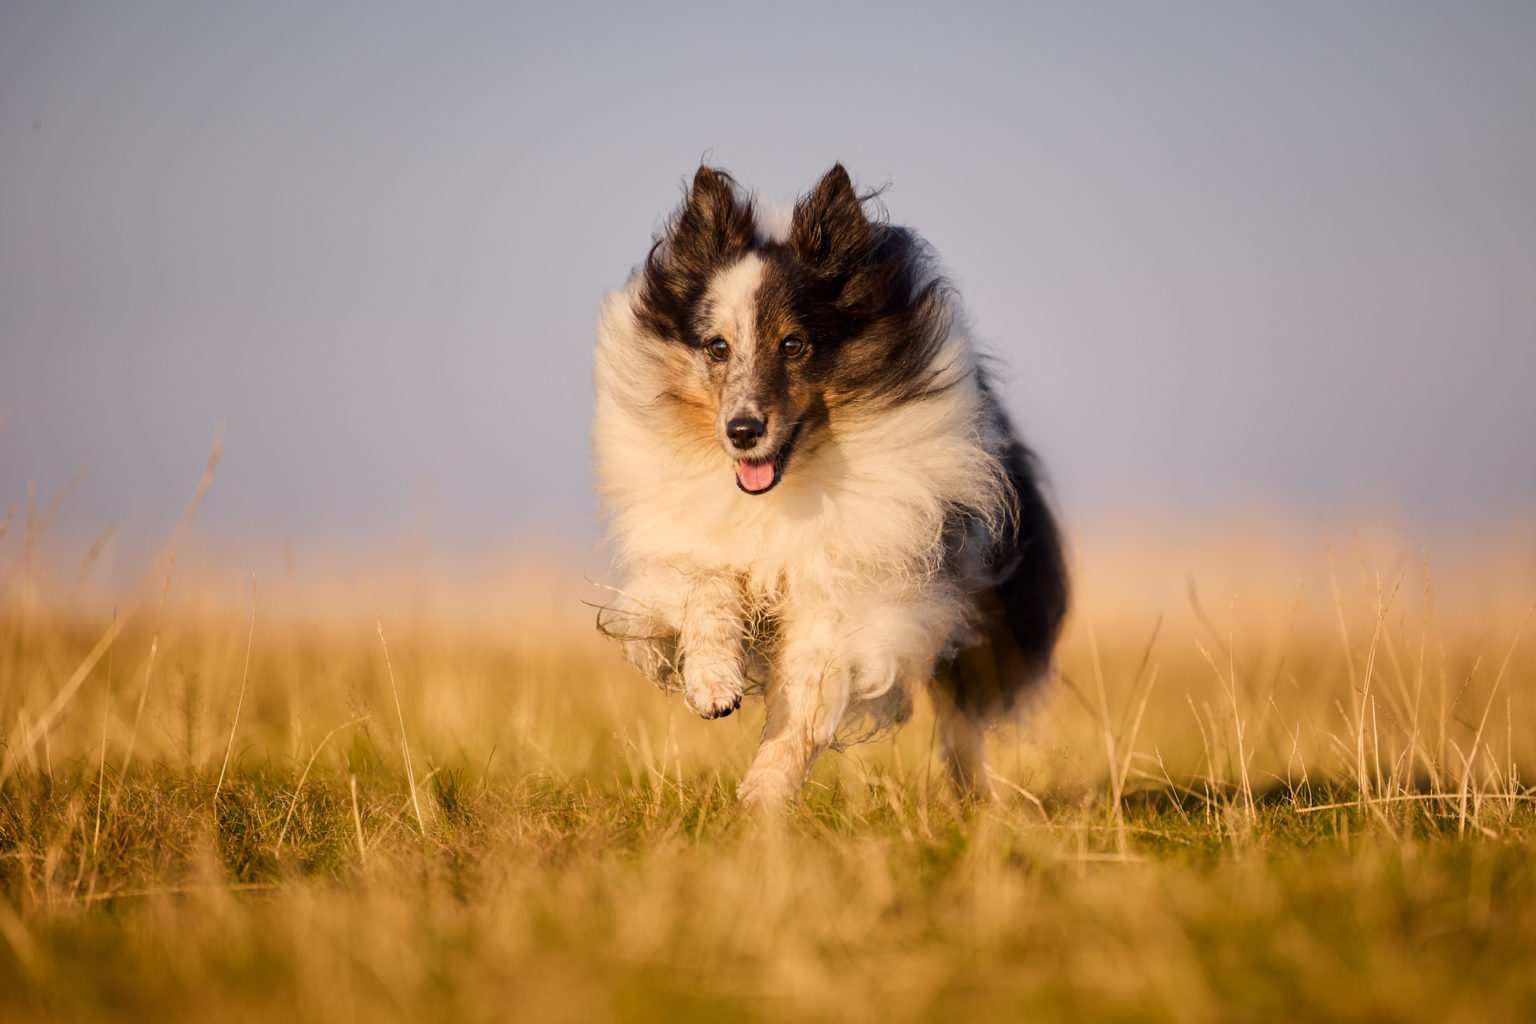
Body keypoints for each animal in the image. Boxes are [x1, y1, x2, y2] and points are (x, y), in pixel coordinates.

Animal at [589, 166, 1069, 810]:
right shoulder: (698, 546)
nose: (742, 432)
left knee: (962, 720)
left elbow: (807, 701)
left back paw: (970, 802)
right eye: (717, 347)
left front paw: (763, 796)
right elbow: (708, 595)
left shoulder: (846, 593)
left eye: (793, 344)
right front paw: (713, 686)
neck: (785, 489)